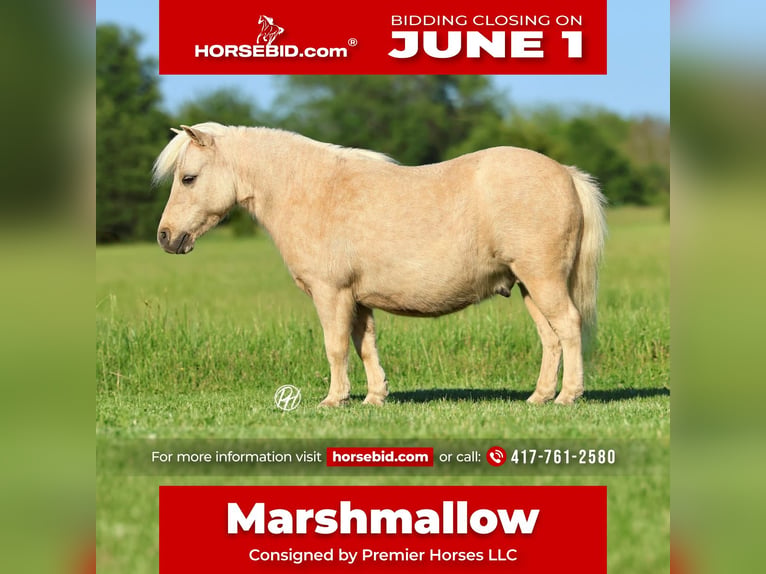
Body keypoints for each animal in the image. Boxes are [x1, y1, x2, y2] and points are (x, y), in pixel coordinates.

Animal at [153, 123, 606, 407]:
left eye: (189, 178)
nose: (165, 237)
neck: (311, 191)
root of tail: (566, 173)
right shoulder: (358, 299)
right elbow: (364, 345)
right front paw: (375, 396)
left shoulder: (331, 293)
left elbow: (335, 346)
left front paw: (334, 399)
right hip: (531, 285)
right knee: (550, 337)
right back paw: (540, 396)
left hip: (543, 279)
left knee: (568, 327)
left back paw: (568, 396)